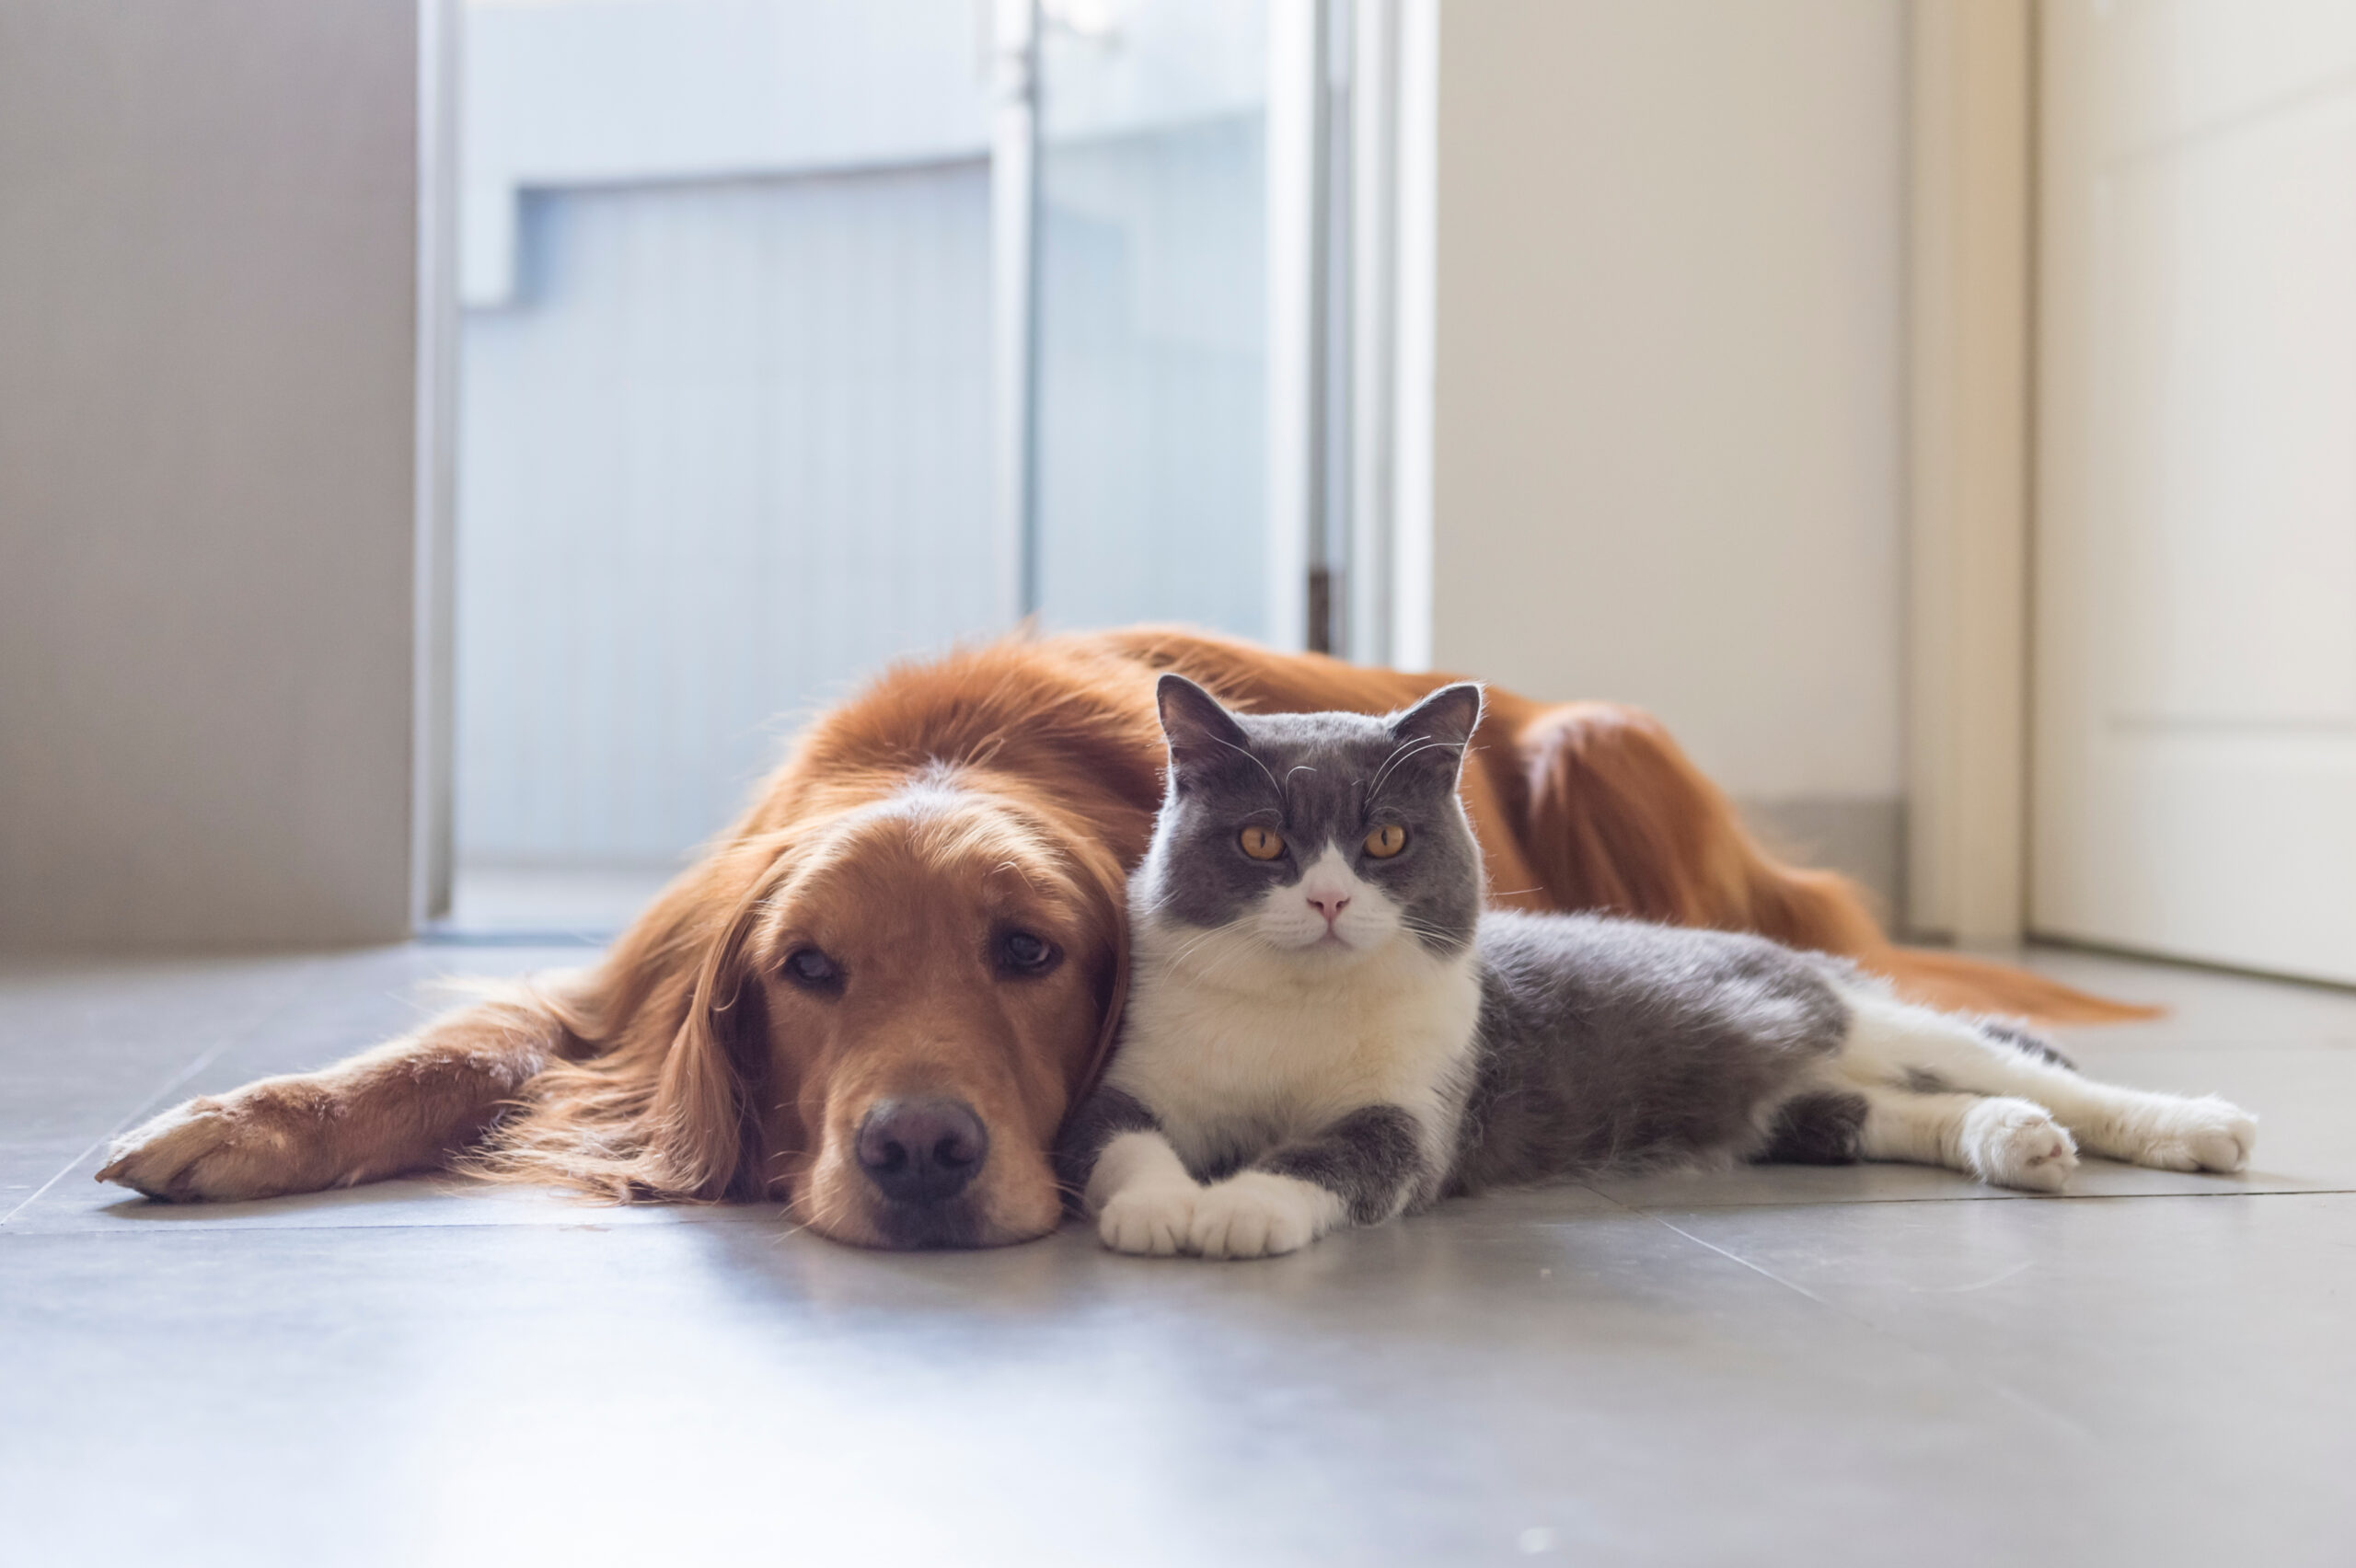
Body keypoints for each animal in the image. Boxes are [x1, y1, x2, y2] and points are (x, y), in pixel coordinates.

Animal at [101, 621, 2139, 1242]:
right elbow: (444, 1046)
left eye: (1029, 954)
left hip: (1598, 745)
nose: (924, 1155)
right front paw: (234, 1123)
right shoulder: (628, 985)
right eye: (806, 972)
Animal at [1055, 673, 2261, 1262]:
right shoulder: (1129, 1077)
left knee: (2015, 1066)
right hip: (1792, 1106)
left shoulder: (1413, 1110)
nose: (1327, 897)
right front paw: (1164, 1208)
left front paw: (1239, 1211)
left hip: (1839, 1008)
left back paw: (2188, 1127)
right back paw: (2013, 1141)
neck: (1296, 1013)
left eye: (1385, 840)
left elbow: (1335, 1157)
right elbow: (1121, 1146)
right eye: (1262, 842)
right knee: (1899, 1109)